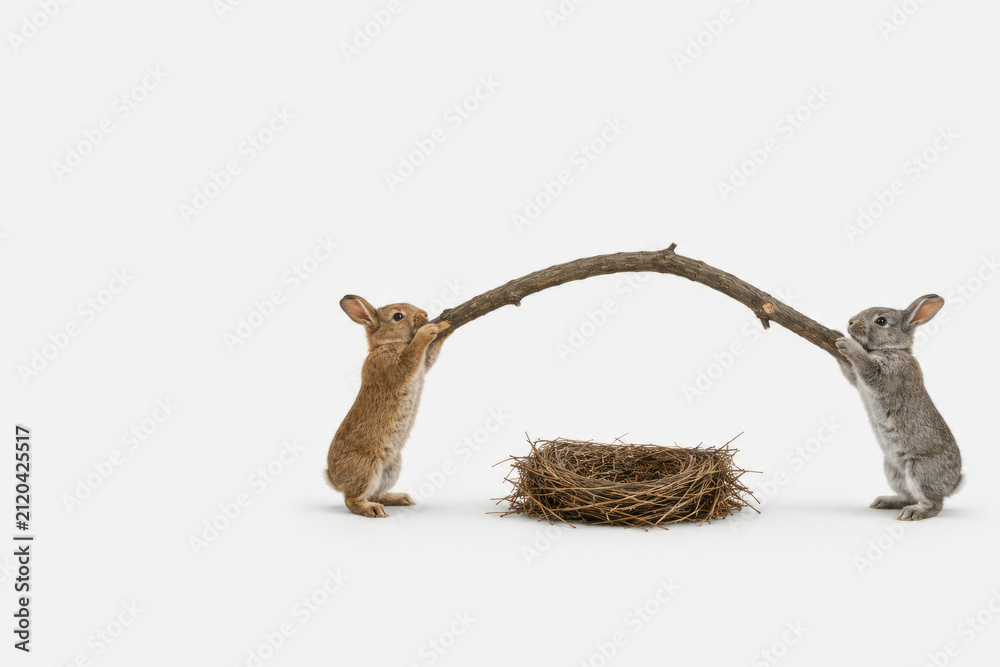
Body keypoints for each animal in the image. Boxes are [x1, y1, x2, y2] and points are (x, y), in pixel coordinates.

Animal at [325, 295, 450, 518]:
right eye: (398, 316)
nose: (425, 314)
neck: (387, 344)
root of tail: (334, 480)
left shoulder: (423, 365)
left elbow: (430, 355)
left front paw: (446, 327)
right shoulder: (394, 365)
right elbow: (413, 354)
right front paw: (430, 330)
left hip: (392, 467)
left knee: (375, 493)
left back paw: (399, 498)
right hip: (367, 468)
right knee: (352, 500)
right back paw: (373, 509)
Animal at [835, 294, 962, 521]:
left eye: (881, 321)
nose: (850, 322)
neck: (892, 348)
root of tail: (952, 484)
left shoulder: (889, 373)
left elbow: (868, 369)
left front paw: (847, 345)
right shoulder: (857, 379)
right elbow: (850, 372)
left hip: (920, 470)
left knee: (934, 503)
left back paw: (914, 513)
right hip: (892, 469)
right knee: (908, 495)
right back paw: (886, 502)